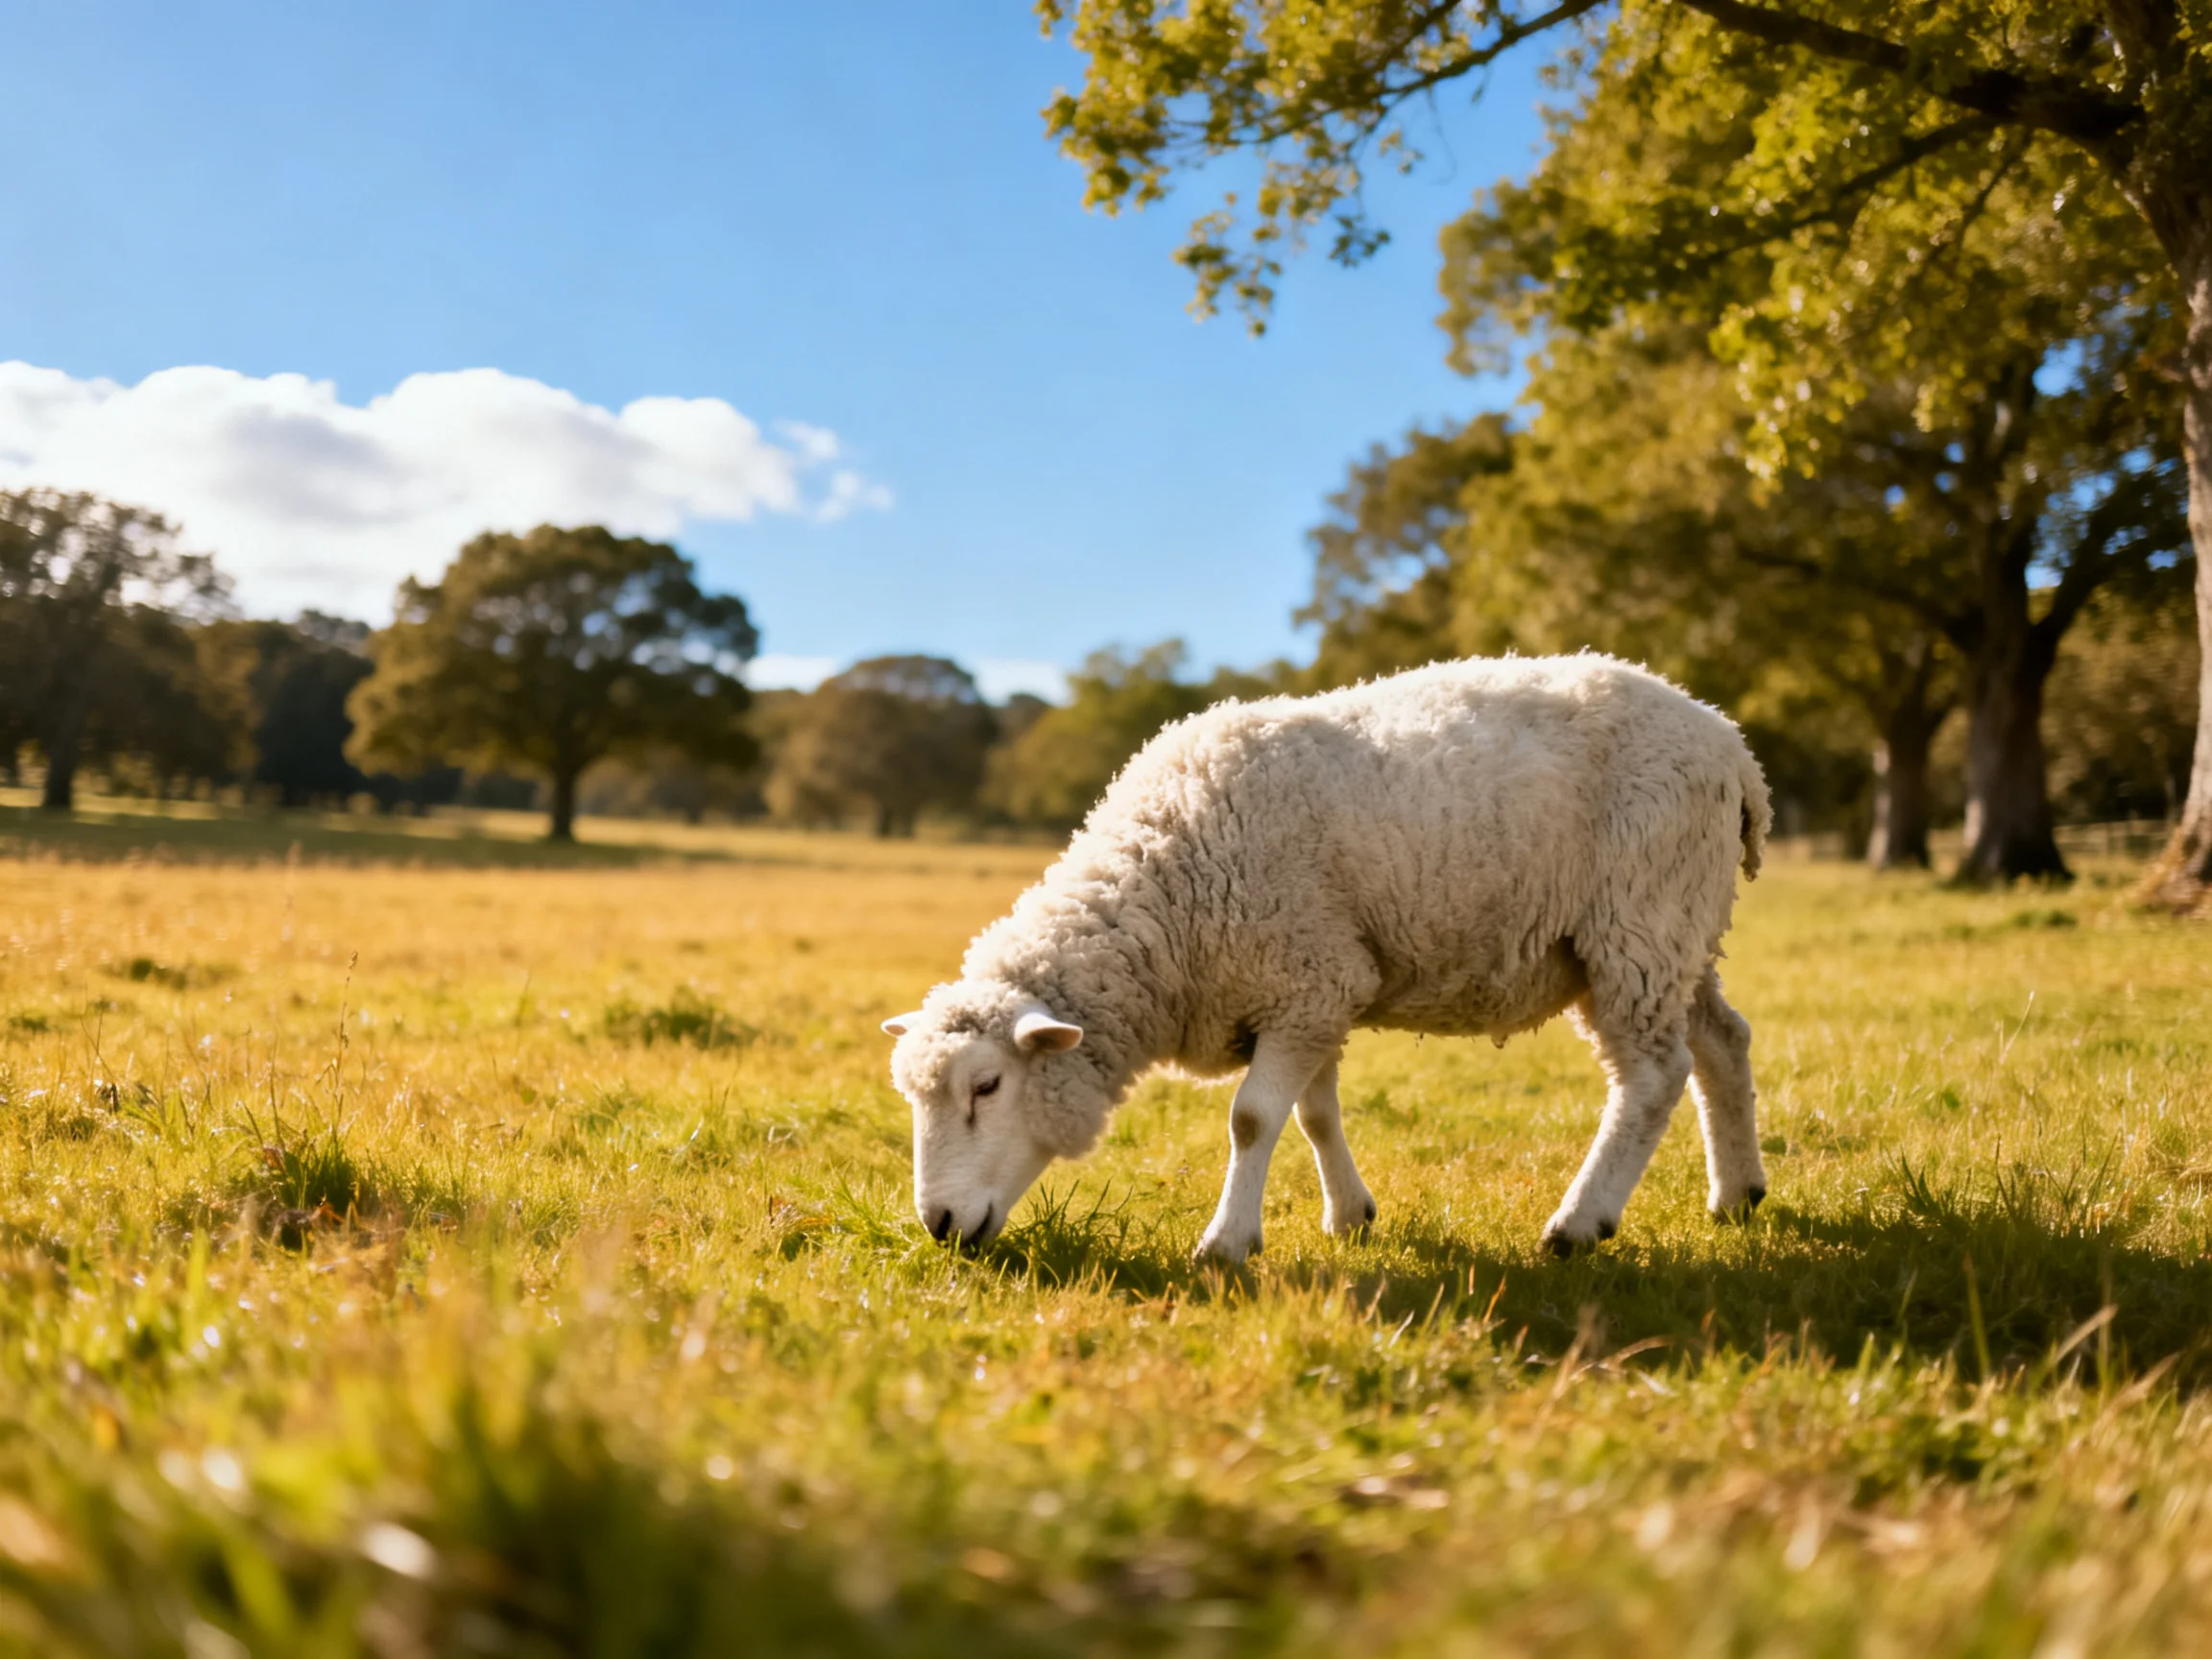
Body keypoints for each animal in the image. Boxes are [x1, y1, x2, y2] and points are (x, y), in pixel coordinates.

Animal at [882, 654, 1771, 1264]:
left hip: (1639, 919)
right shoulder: (1314, 988)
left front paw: (1227, 1243)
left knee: (1652, 1076)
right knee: (1723, 1041)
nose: (938, 1226)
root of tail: (1730, 744)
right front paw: (1351, 1216)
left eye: (987, 1087)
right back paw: (1737, 1193)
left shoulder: (1305, 978)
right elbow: (1314, 1114)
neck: (1166, 892)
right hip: (1678, 927)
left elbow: (1251, 1118)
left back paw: (1579, 1223)